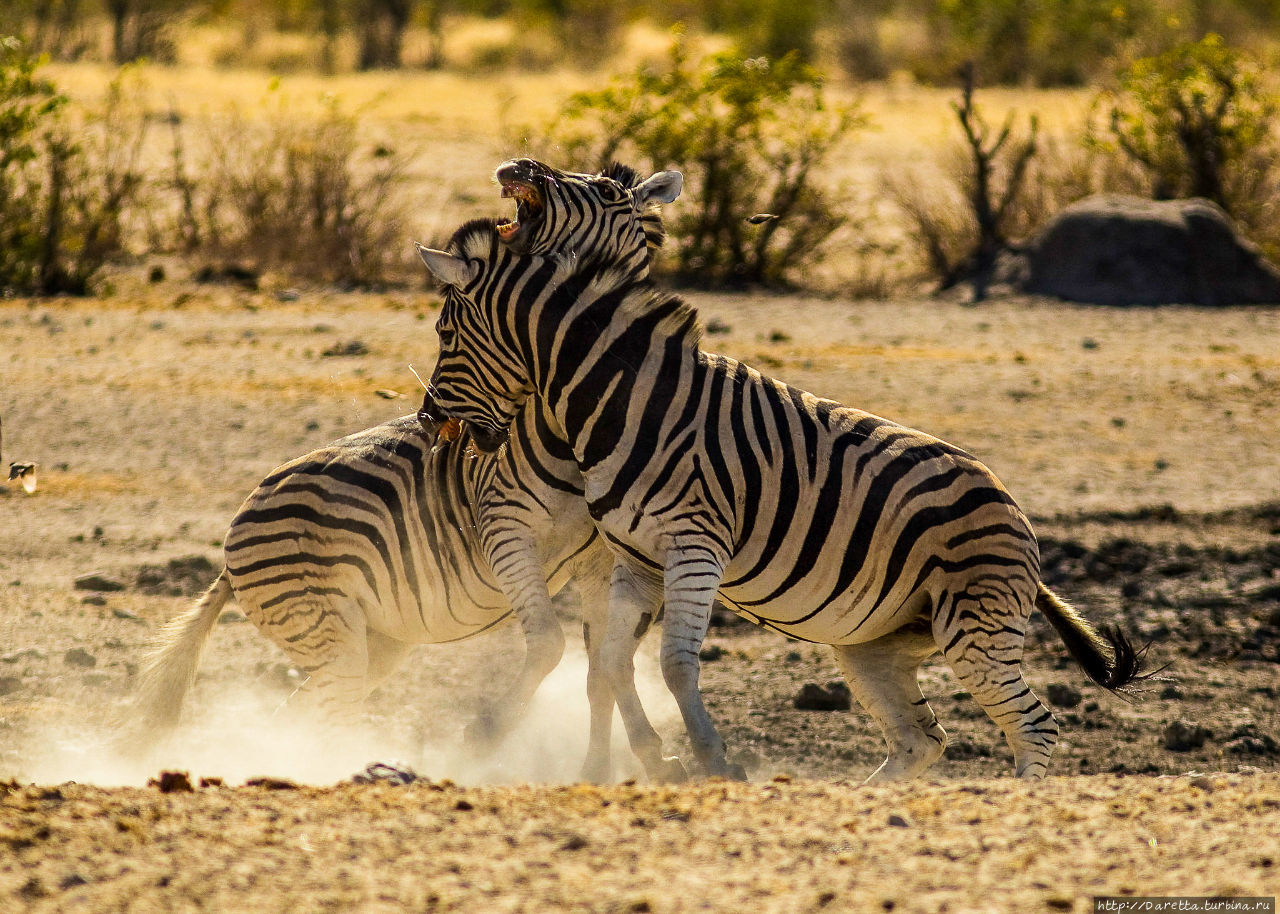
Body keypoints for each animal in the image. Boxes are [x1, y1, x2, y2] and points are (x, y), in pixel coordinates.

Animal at [127, 158, 691, 778]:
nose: (518, 166)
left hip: (371, 640)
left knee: (299, 711)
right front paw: (485, 733)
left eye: (609, 190)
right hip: (329, 632)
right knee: (326, 712)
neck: (565, 428)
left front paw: (607, 768)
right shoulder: (503, 528)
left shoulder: (597, 559)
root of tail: (233, 543)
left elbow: (600, 673)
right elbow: (547, 644)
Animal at [422, 220, 1152, 778]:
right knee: (923, 740)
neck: (629, 403)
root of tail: (1014, 509)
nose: (430, 421)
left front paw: (715, 761)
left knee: (1034, 726)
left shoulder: (695, 547)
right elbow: (611, 661)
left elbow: (675, 665)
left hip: (974, 625)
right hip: (875, 645)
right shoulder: (639, 559)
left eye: (444, 336)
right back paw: (861, 803)